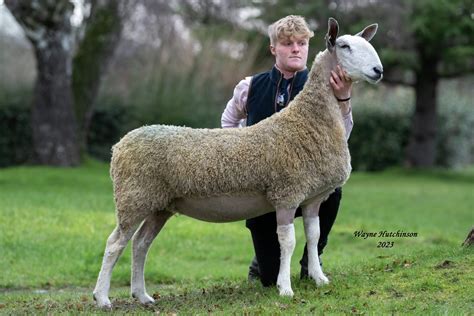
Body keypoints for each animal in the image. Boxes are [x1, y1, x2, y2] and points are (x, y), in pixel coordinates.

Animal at [93, 17, 386, 308]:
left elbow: (314, 236)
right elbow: (288, 242)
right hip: (134, 197)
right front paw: (285, 288)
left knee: (140, 243)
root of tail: (119, 146)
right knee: (114, 243)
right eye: (345, 46)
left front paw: (319, 278)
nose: (378, 70)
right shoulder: (286, 193)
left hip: (160, 204)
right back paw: (102, 297)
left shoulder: (313, 197)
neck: (309, 120)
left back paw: (142, 295)